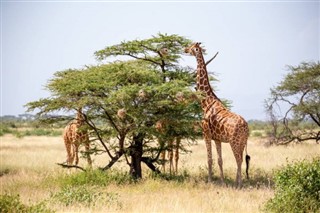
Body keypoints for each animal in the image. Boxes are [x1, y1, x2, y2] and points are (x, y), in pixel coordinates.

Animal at [185, 42, 250, 187]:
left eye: (191, 47)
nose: (184, 49)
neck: (206, 102)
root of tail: (246, 126)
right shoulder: (217, 138)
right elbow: (220, 160)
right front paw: (222, 182)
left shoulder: (206, 134)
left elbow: (209, 159)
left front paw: (210, 181)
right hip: (242, 142)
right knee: (241, 159)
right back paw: (237, 182)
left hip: (234, 142)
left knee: (238, 160)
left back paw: (239, 184)